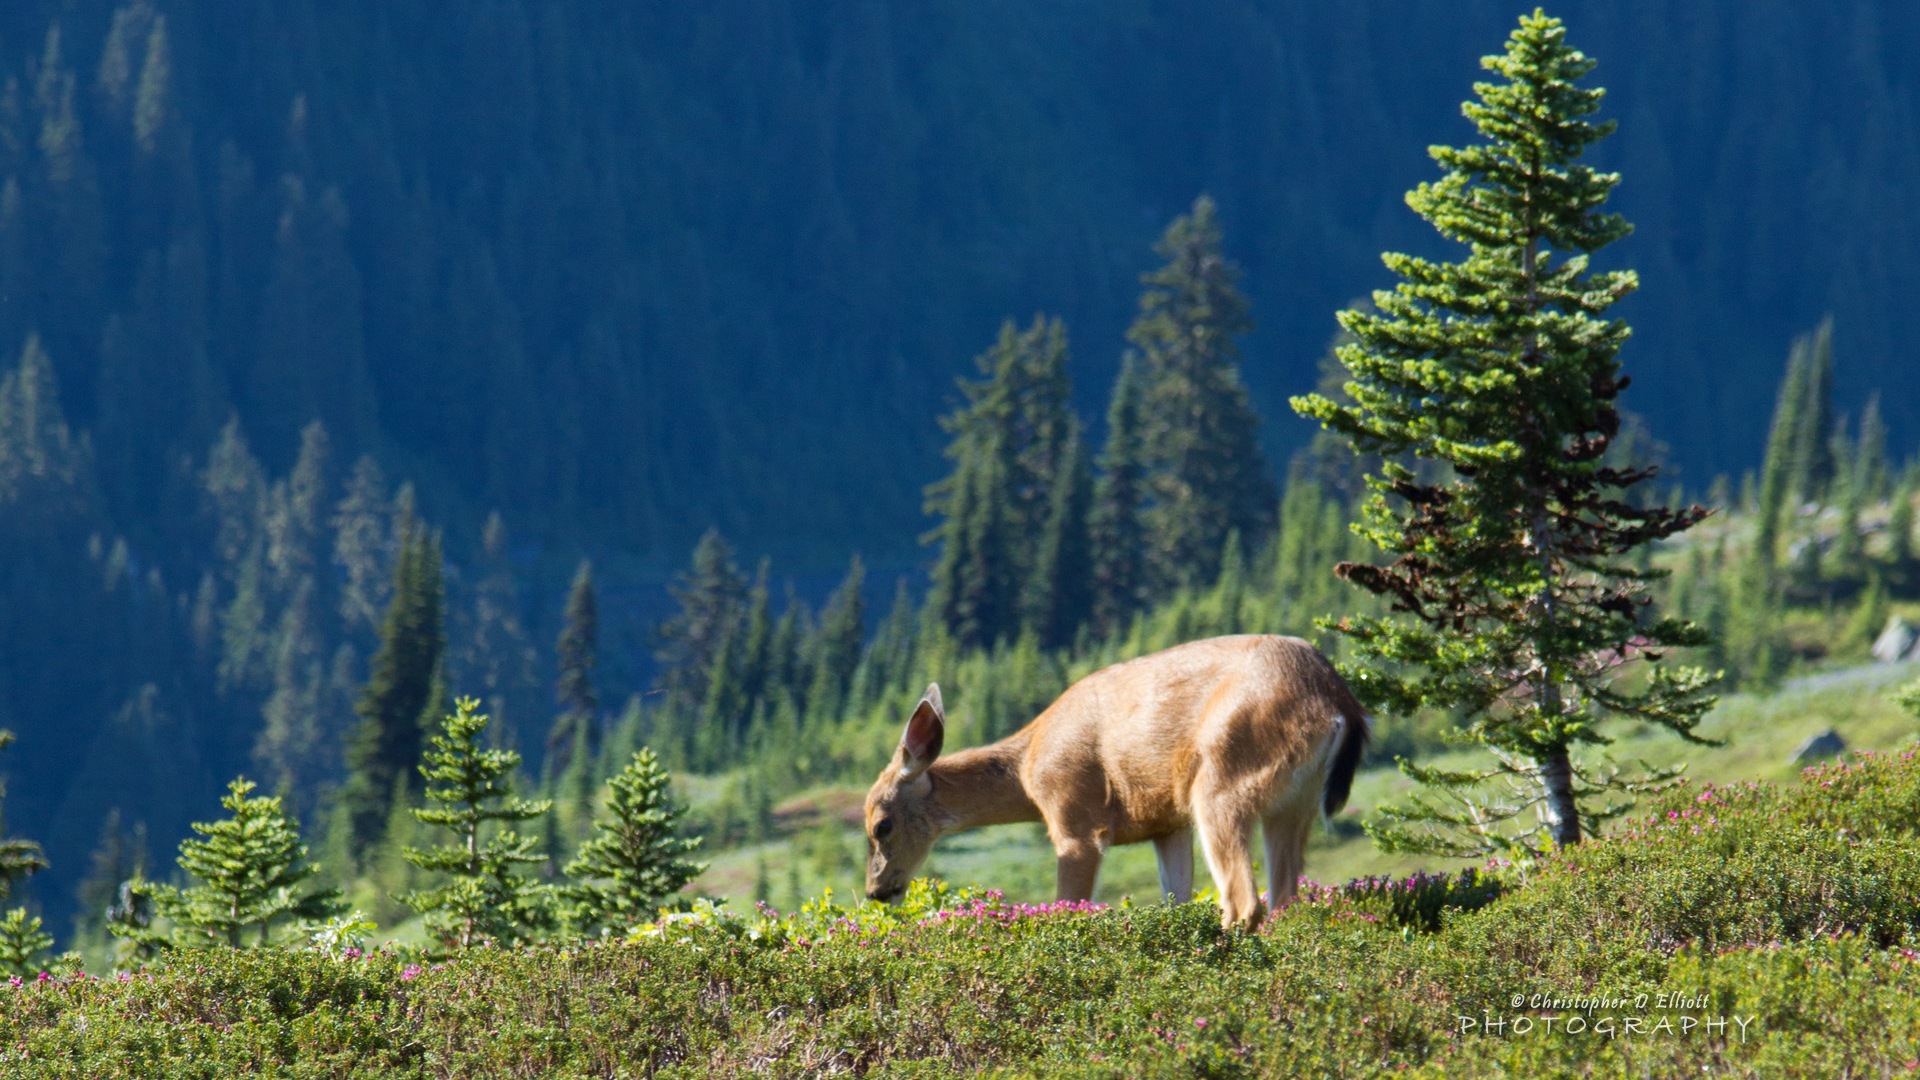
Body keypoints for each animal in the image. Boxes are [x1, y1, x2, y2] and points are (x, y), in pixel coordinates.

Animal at [864, 630, 1374, 926]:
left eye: (880, 825)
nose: (875, 892)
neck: (1028, 768)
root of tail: (1339, 702)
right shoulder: (1167, 824)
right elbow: (1177, 898)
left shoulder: (1074, 816)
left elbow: (1068, 905)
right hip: (1295, 802)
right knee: (1285, 898)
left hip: (1224, 778)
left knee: (1244, 901)